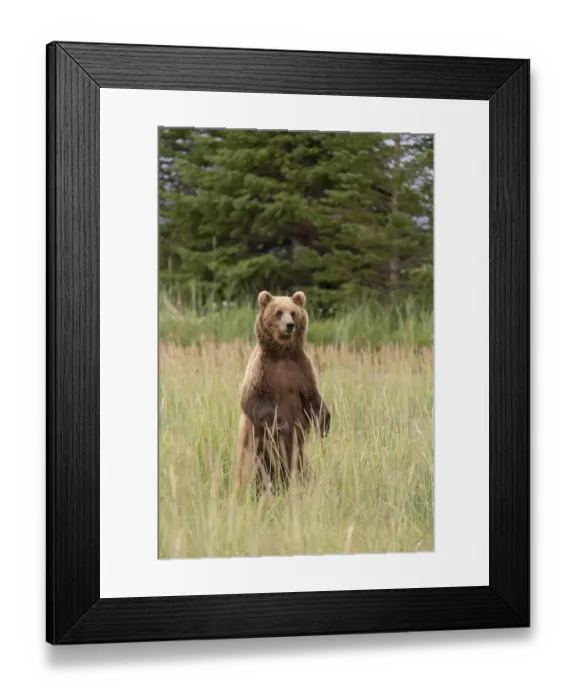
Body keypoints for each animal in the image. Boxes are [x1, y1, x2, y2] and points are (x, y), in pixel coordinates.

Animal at [235, 290, 330, 493]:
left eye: (293, 312)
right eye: (278, 312)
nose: (290, 325)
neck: (283, 354)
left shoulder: (301, 369)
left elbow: (312, 397)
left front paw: (324, 424)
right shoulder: (262, 369)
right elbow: (251, 398)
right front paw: (281, 424)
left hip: (298, 455)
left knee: (304, 471)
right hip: (255, 451)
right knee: (249, 474)